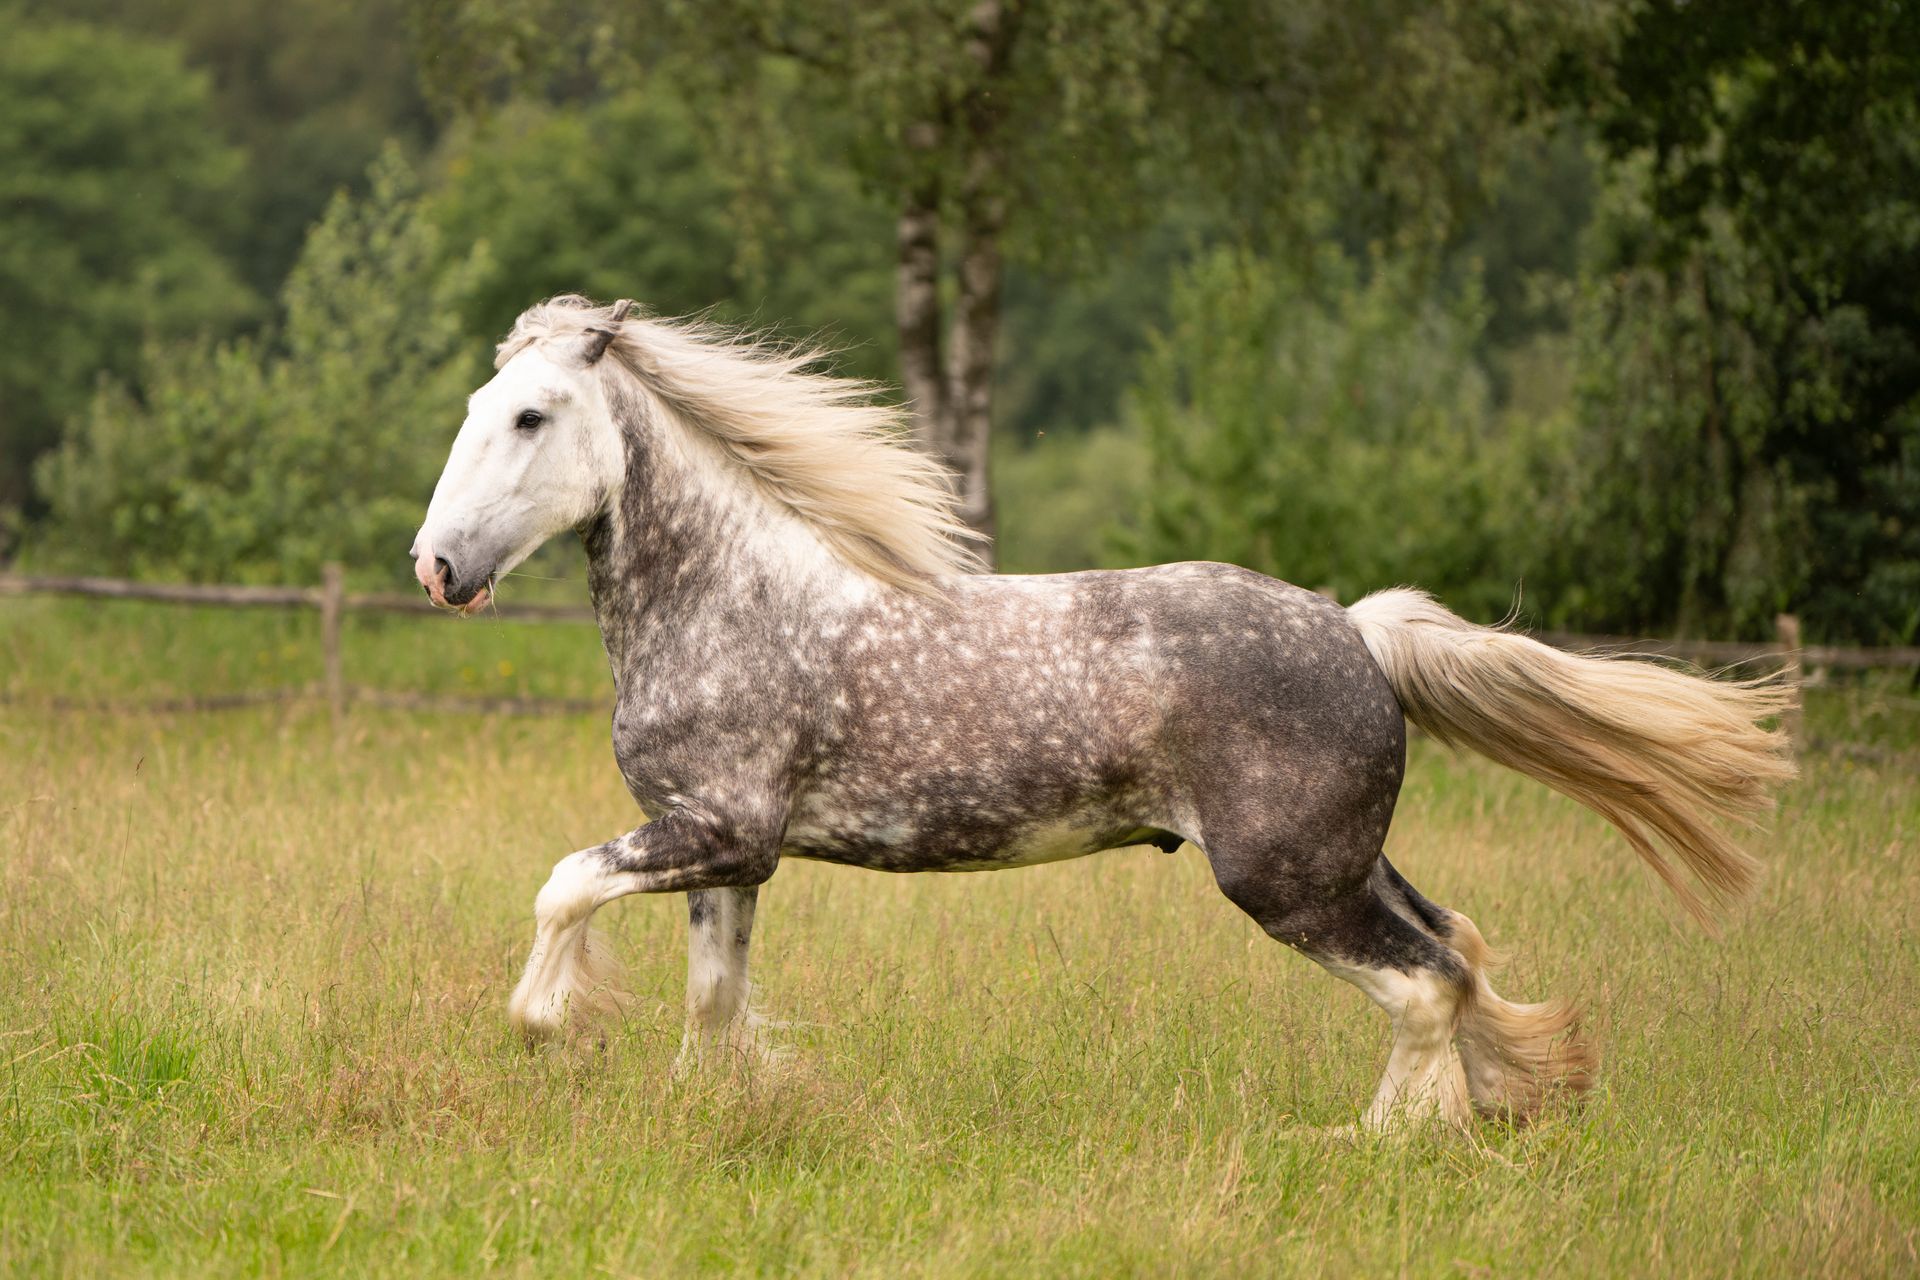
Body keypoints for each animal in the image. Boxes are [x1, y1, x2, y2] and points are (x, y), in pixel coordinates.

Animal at [409, 294, 1795, 1130]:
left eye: (530, 414)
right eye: (473, 409)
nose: (435, 568)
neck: (734, 601)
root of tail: (1358, 627)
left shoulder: (717, 830)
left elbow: (561, 888)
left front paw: (547, 1024)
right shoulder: (731, 853)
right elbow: (712, 1000)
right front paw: (717, 1107)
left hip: (1286, 879)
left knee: (1422, 986)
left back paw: (1372, 1142)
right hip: (1349, 860)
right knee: (1458, 949)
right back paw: (1488, 1105)